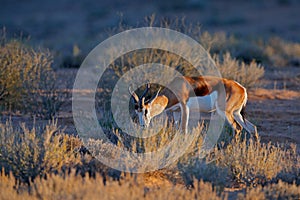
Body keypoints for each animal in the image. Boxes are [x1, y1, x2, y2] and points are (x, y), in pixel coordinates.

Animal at [129, 76, 258, 140]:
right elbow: (177, 129)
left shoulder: (185, 107)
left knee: (237, 128)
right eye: (137, 112)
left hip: (225, 112)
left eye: (146, 111)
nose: (143, 126)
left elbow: (183, 130)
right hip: (236, 113)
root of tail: (242, 88)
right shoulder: (176, 111)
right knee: (252, 128)